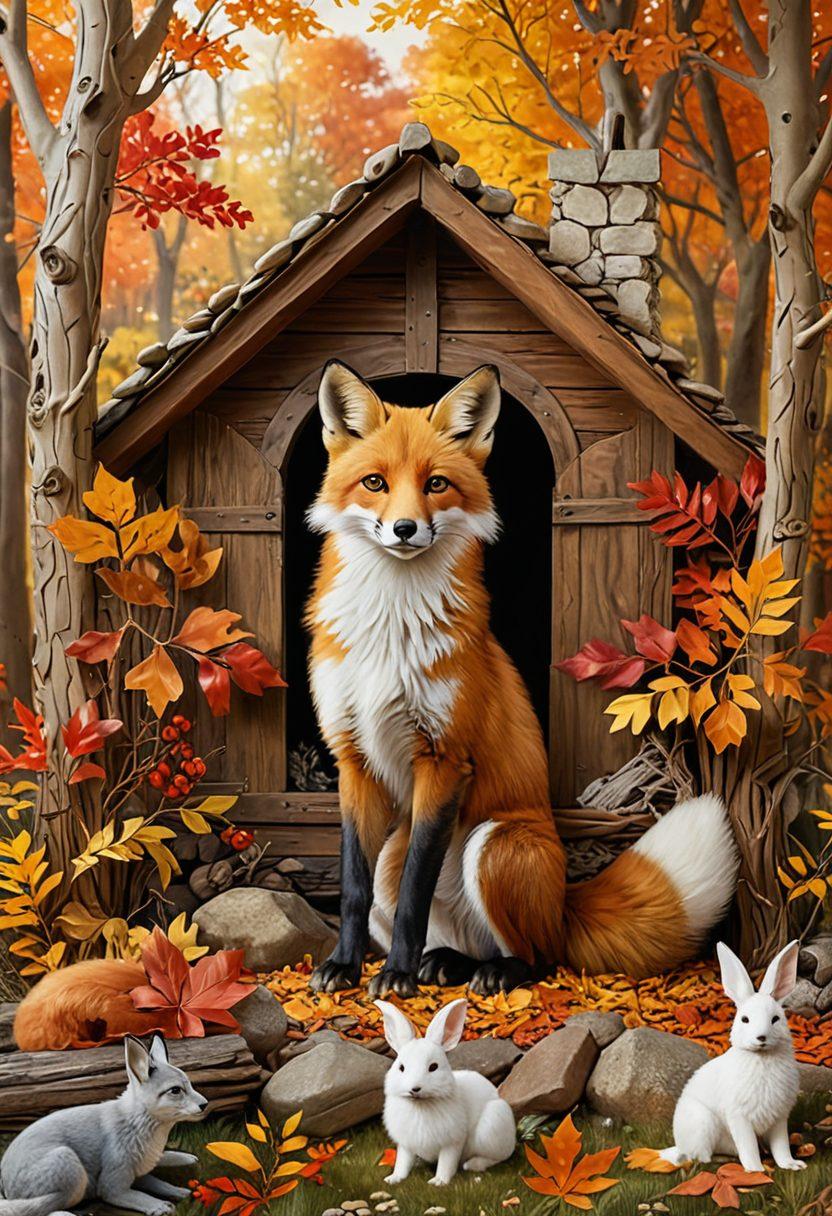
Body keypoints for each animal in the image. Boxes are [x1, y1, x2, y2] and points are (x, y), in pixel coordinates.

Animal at [305, 360, 739, 1000]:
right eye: (375, 483)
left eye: (436, 484)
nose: (405, 528)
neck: (391, 625)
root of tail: (564, 905)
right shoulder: (352, 757)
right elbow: (353, 888)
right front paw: (344, 964)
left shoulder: (444, 758)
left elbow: (414, 894)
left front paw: (396, 975)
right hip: (402, 851)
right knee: (456, 935)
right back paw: (446, 962)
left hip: (496, 843)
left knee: (540, 956)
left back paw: (489, 971)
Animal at [375, 997, 516, 1186]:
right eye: (401, 1067)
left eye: (433, 1067)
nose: (414, 1088)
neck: (421, 1105)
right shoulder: (406, 1144)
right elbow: (402, 1163)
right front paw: (393, 1179)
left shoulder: (453, 1142)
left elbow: (446, 1163)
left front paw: (438, 1182)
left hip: (492, 1127)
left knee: (496, 1158)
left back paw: (472, 1165)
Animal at [660, 938, 806, 1174]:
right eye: (745, 1019)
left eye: (776, 1019)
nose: (761, 1037)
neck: (762, 1057)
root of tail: (678, 1144)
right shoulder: (739, 1117)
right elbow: (749, 1146)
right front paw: (756, 1171)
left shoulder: (779, 1119)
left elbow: (781, 1146)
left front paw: (792, 1165)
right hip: (702, 1123)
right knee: (700, 1157)